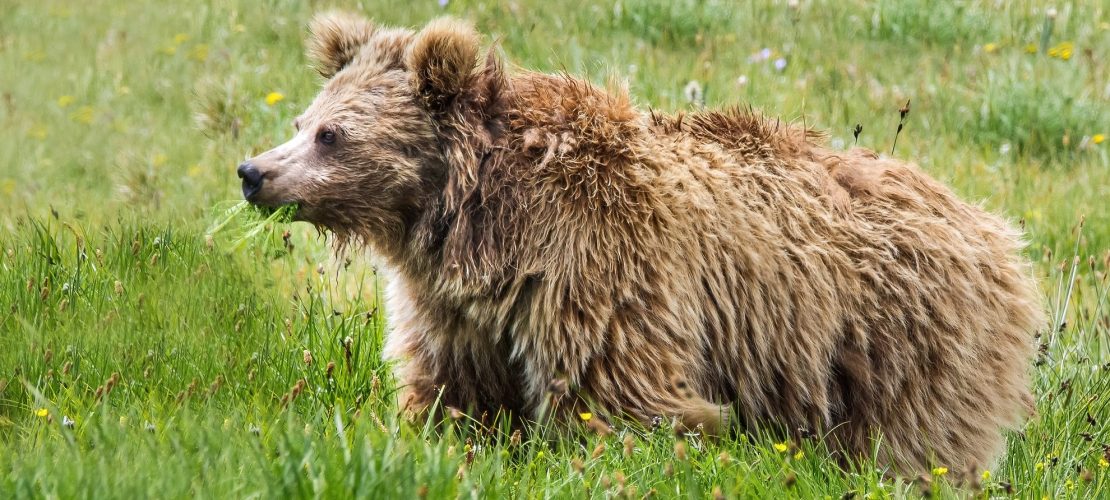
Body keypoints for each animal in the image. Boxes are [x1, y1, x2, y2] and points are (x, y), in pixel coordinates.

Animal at [237, 12, 1043, 477]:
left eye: (332, 134)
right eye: (303, 119)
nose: (254, 173)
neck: (477, 220)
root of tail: (994, 229)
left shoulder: (596, 265)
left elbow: (621, 395)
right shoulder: (454, 305)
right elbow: (452, 389)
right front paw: (430, 434)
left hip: (902, 337)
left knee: (916, 441)